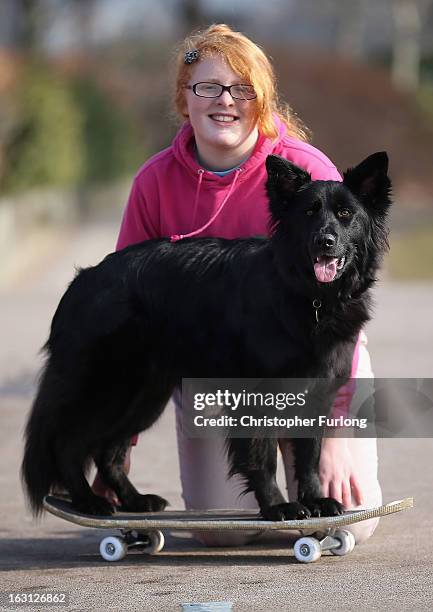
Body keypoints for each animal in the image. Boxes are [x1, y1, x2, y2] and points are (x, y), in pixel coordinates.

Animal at [22, 153, 390, 520]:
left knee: (107, 451)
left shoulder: (316, 393)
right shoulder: (256, 394)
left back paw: (134, 500)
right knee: (67, 443)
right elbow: (263, 456)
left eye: (346, 214)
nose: (324, 241)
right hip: (109, 389)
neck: (311, 297)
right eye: (309, 213)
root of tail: (82, 280)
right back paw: (88, 500)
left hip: (144, 396)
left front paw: (315, 500)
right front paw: (277, 505)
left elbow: (310, 456)